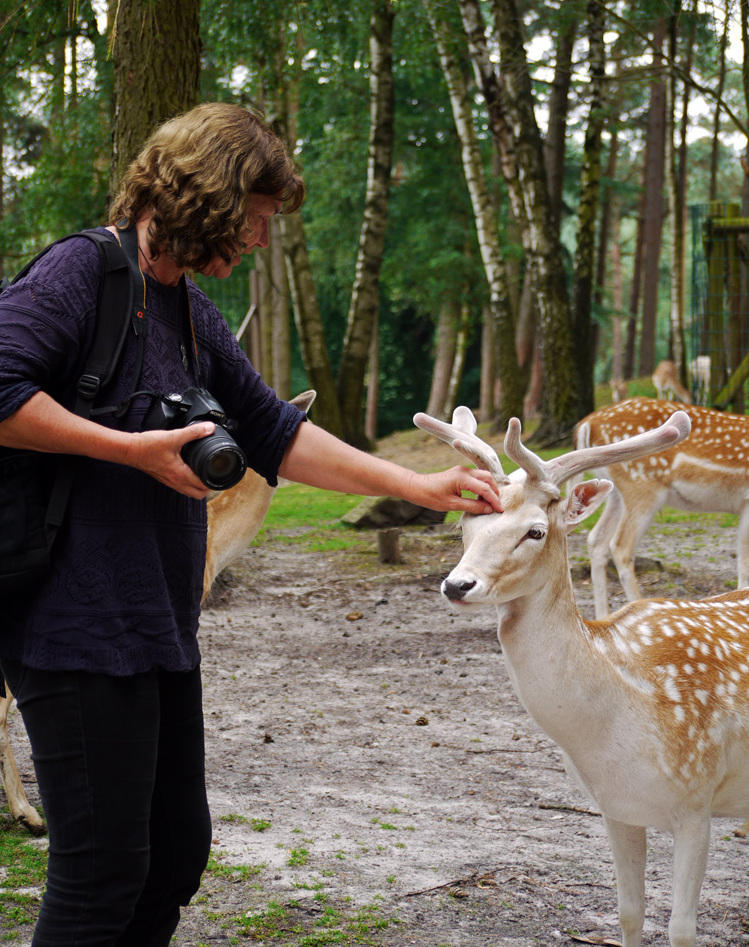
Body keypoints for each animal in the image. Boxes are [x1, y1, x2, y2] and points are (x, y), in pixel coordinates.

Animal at [572, 396, 748, 620]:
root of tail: (586, 424)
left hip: (615, 492)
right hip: (641, 485)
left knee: (596, 539)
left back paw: (603, 616)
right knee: (620, 546)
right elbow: (744, 564)